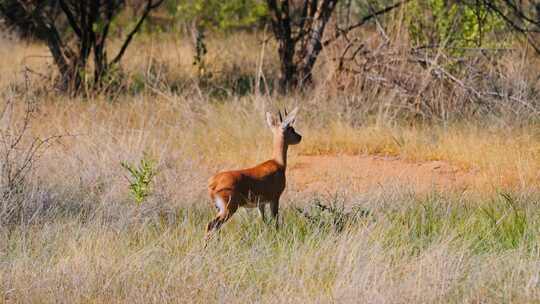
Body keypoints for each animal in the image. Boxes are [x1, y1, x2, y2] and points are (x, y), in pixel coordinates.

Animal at [205, 107, 302, 240]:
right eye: (291, 129)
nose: (299, 137)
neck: (278, 163)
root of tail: (213, 182)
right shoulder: (275, 198)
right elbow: (275, 221)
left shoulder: (261, 204)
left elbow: (264, 221)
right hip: (228, 209)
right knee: (211, 225)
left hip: (220, 208)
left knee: (215, 227)